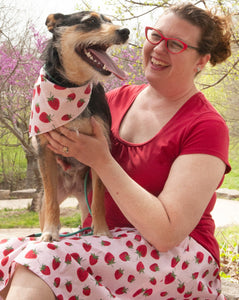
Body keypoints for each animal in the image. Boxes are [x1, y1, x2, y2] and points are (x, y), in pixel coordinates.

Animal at [29, 11, 131, 241]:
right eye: (90, 21)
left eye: (110, 21)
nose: (125, 31)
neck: (70, 86)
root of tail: (72, 189)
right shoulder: (44, 149)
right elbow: (51, 201)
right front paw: (50, 232)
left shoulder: (101, 148)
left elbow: (99, 199)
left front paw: (101, 230)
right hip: (44, 202)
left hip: (84, 199)